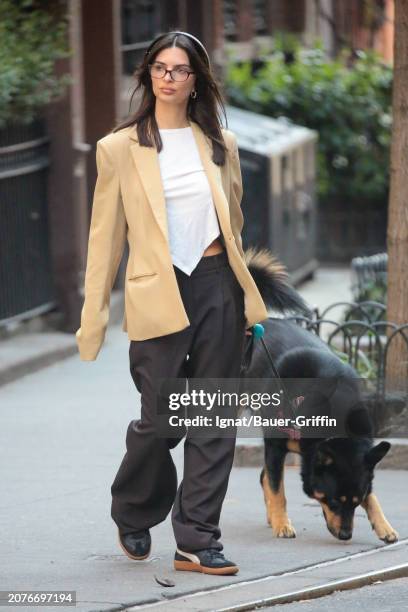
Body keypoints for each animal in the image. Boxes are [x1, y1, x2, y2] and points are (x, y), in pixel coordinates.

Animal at [242, 246, 398, 544]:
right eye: (334, 501)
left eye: (355, 502)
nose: (346, 536)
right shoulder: (276, 445)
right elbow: (278, 489)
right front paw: (282, 524)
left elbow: (372, 493)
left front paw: (383, 524)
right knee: (267, 478)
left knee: (263, 476)